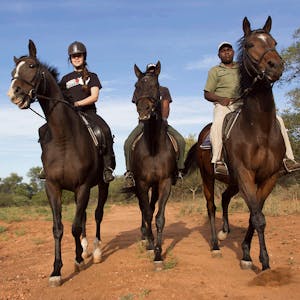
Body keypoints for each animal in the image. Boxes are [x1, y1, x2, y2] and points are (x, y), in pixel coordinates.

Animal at [7, 39, 109, 286]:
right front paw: (56, 270)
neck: (64, 136)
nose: (14, 94)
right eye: (12, 71)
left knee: (97, 215)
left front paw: (78, 260)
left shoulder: (83, 186)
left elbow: (74, 227)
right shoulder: (53, 187)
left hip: (102, 185)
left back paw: (95, 251)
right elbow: (59, 228)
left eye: (32, 66)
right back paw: (85, 249)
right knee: (84, 217)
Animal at [184, 15, 284, 270]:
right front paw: (264, 264)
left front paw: (247, 254)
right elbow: (258, 217)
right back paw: (215, 244)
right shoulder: (246, 173)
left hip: (233, 180)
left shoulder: (269, 177)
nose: (276, 66)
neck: (259, 128)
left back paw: (224, 232)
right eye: (250, 44)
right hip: (209, 177)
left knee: (226, 197)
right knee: (211, 206)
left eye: (274, 42)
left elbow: (254, 215)